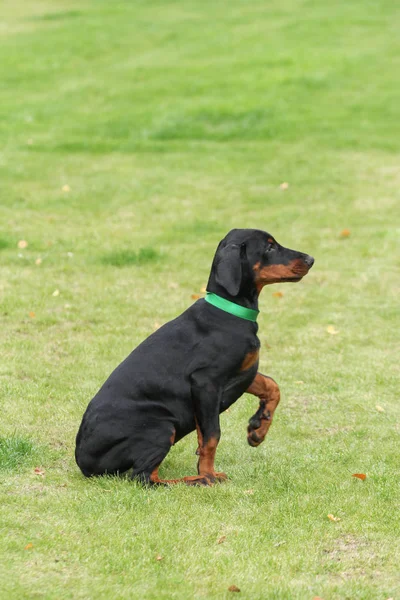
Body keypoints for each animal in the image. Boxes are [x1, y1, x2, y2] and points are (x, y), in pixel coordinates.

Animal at [74, 227, 312, 486]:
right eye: (269, 247)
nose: (311, 259)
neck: (229, 311)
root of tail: (84, 463)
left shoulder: (240, 373)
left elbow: (272, 386)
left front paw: (258, 429)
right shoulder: (206, 382)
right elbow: (213, 435)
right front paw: (208, 473)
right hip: (161, 427)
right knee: (145, 477)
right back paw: (196, 481)